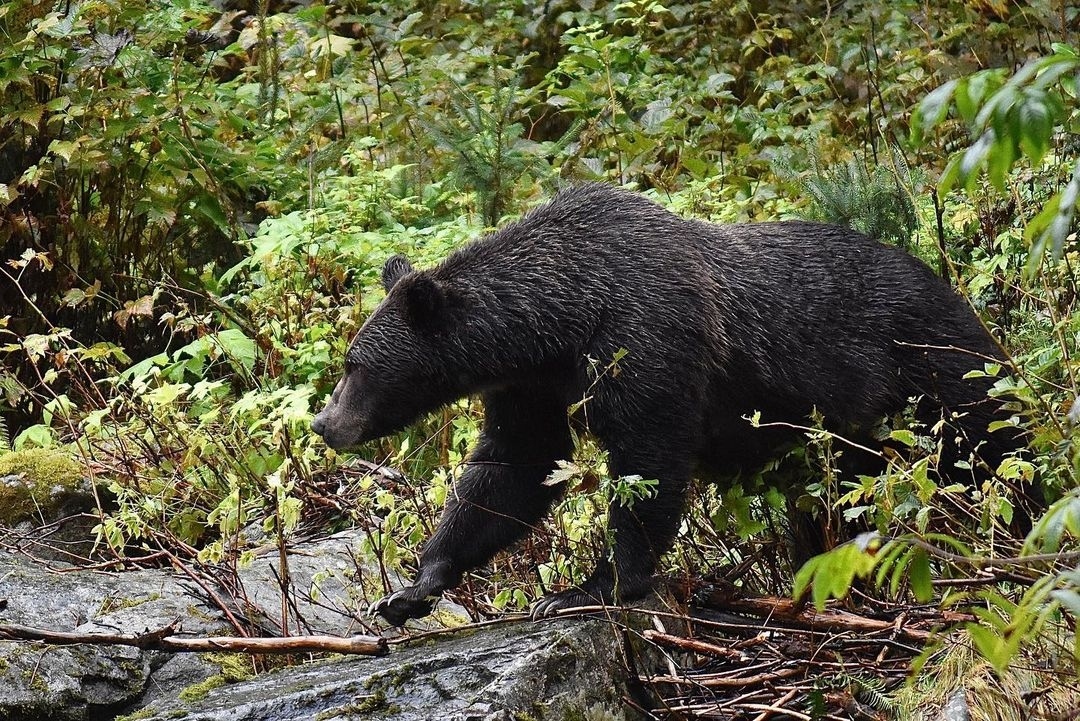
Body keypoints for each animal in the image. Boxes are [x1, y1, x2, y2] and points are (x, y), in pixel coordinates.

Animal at [311, 183, 1014, 625]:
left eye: (354, 366)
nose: (324, 423)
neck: (557, 322)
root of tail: (951, 288)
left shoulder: (648, 337)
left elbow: (647, 461)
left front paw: (584, 589)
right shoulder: (531, 386)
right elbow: (512, 468)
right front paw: (411, 589)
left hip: (931, 369)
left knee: (986, 446)